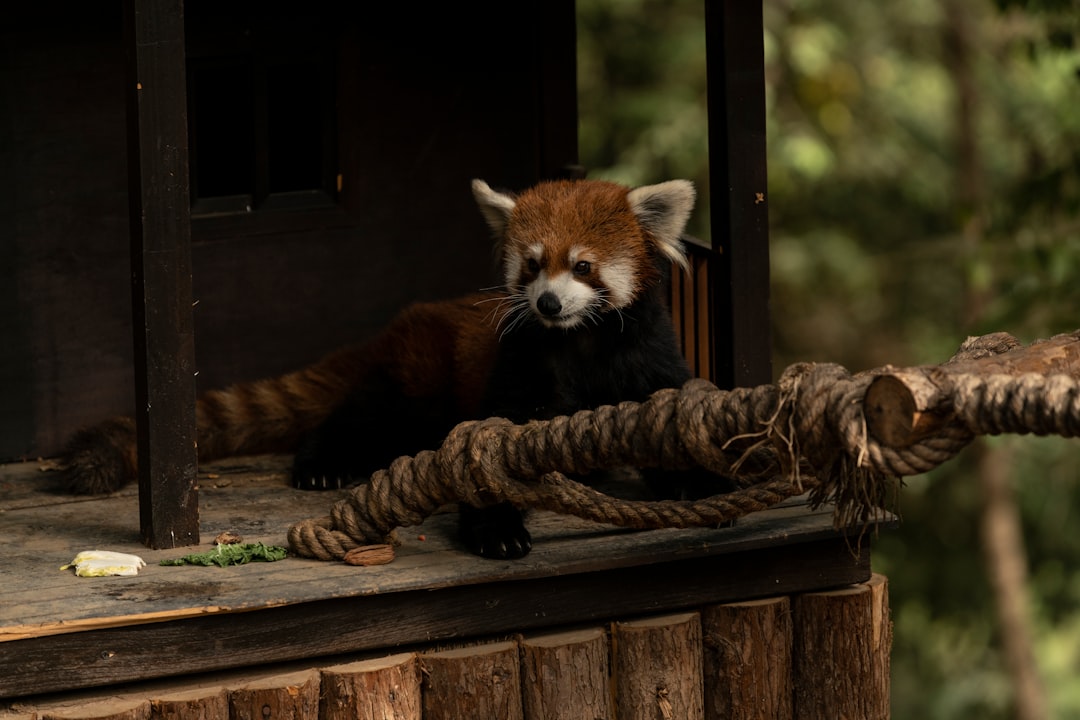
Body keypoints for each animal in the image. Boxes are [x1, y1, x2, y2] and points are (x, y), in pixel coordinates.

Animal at [63, 177, 708, 561]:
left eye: (582, 266)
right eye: (531, 265)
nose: (547, 303)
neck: (579, 343)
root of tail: (401, 325)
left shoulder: (646, 355)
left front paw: (694, 478)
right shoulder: (520, 367)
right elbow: (486, 454)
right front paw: (498, 530)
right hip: (418, 379)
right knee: (365, 418)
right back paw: (323, 464)